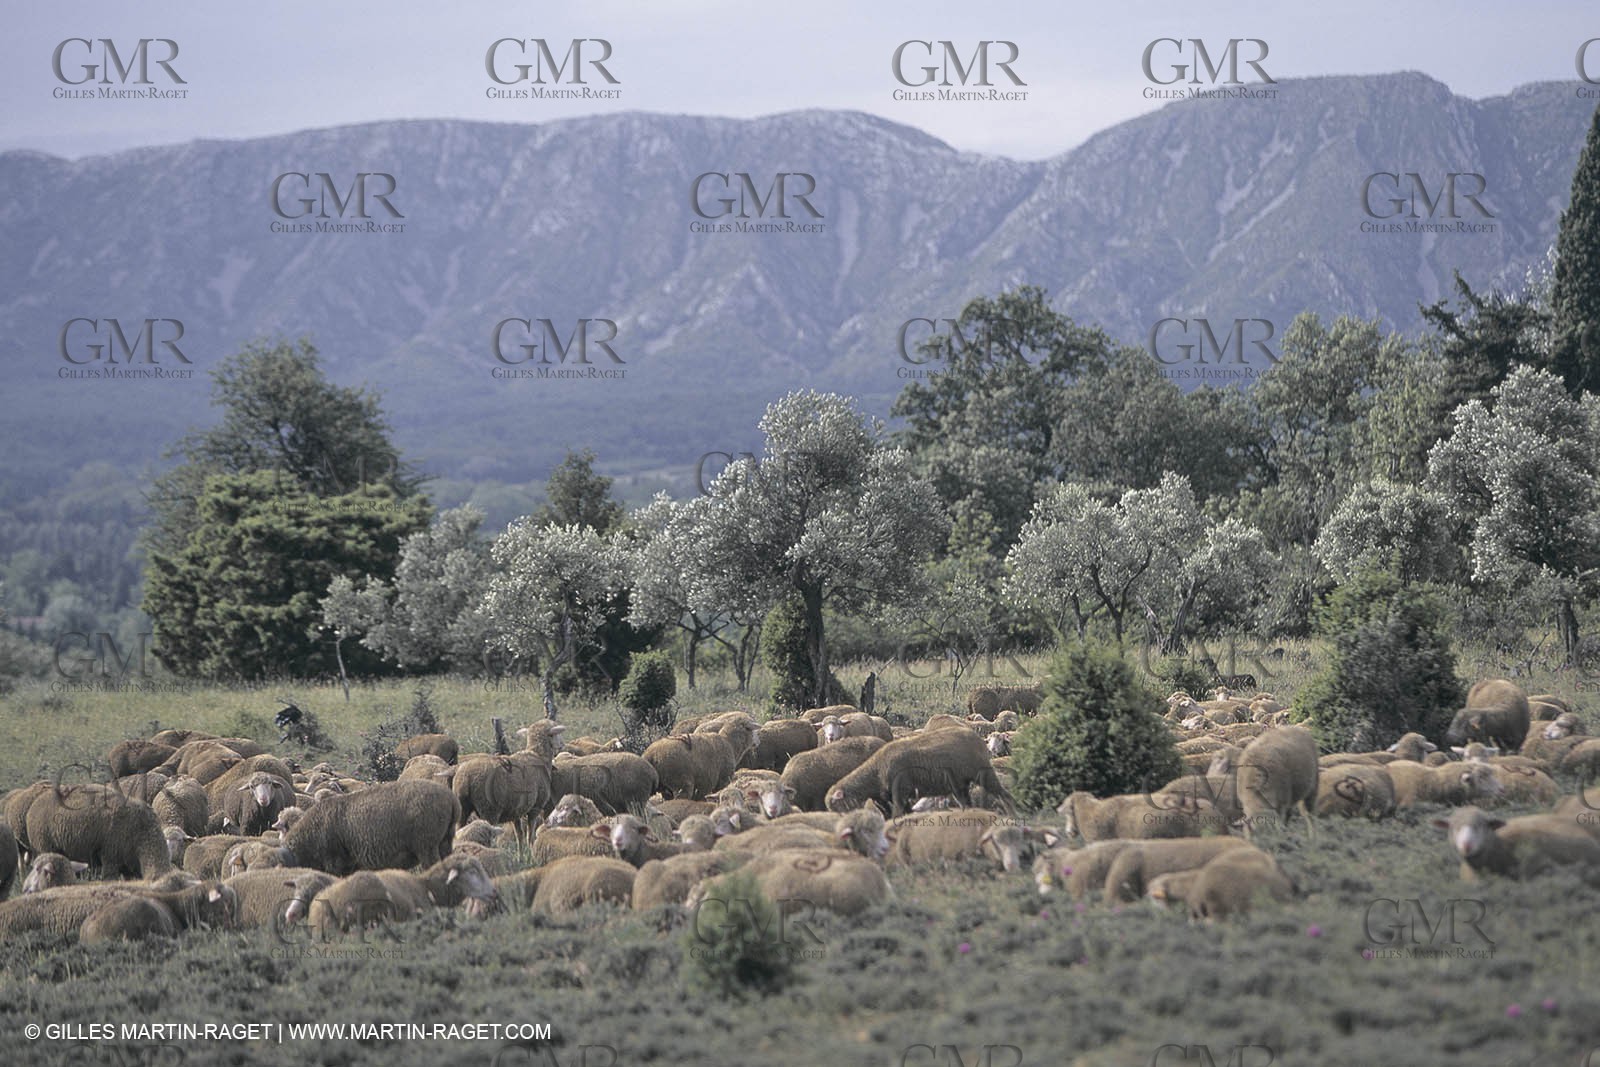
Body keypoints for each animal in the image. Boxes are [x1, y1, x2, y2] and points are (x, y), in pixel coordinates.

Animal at [824, 729, 1013, 816]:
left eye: (837, 805)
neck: (875, 773)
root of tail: (976, 737)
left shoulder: (900, 792)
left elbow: (899, 814)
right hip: (960, 785)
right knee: (966, 802)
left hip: (983, 773)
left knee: (1003, 794)